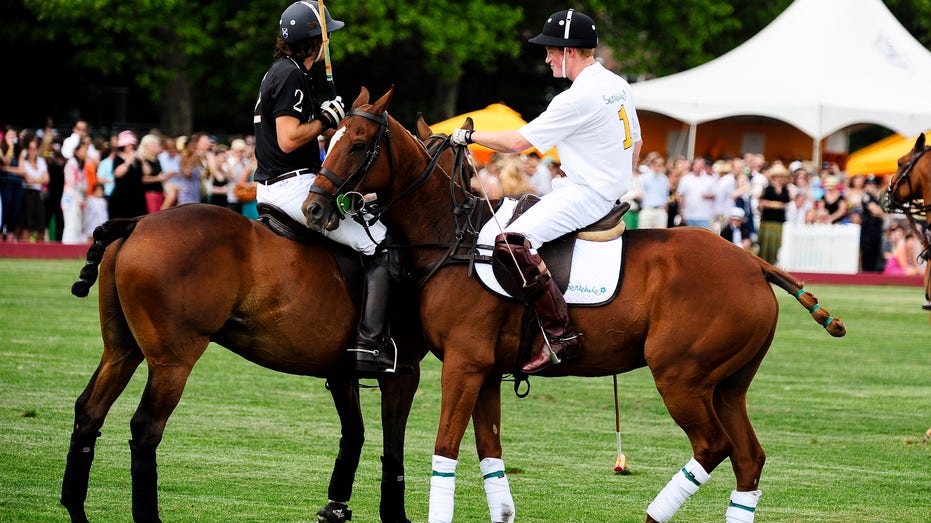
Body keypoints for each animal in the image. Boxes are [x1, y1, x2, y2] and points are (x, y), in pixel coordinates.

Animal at [65, 204, 426, 523]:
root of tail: (136, 223)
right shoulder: (404, 371)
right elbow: (393, 446)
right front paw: (394, 515)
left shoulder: (341, 372)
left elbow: (354, 435)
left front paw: (335, 508)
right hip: (173, 360)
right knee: (146, 427)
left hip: (121, 349)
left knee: (89, 409)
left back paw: (75, 508)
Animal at [302, 89, 848, 523]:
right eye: (330, 139)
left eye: (357, 143)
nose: (314, 208)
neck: (451, 238)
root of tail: (755, 263)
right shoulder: (487, 370)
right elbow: (490, 457)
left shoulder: (464, 362)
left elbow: (444, 449)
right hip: (728, 384)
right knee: (749, 460)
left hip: (682, 375)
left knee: (714, 446)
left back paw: (652, 515)